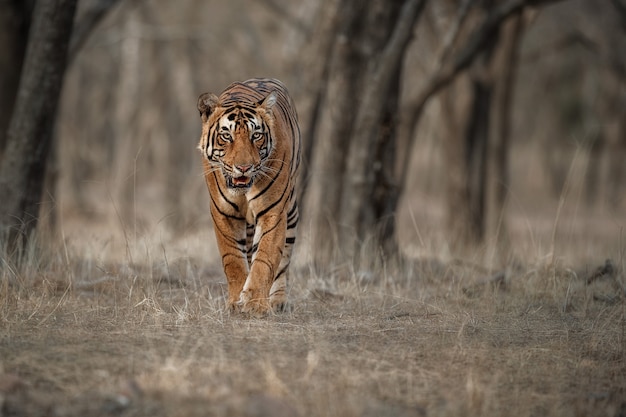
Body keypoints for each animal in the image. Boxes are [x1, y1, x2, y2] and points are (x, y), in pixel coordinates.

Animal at [196, 78, 302, 316]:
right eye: (227, 136)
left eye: (256, 136)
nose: (244, 167)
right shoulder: (223, 213)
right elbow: (233, 260)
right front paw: (236, 302)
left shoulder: (273, 211)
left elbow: (266, 258)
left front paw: (255, 304)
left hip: (290, 211)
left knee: (284, 258)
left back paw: (277, 301)